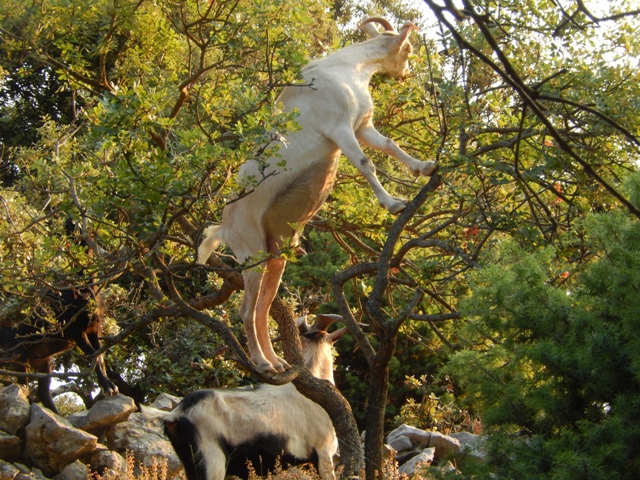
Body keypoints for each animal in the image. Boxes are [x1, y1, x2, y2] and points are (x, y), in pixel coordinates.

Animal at [198, 18, 437, 375]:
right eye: (407, 48)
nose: (405, 74)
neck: (347, 69)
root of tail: (224, 228)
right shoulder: (340, 128)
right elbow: (366, 164)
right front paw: (394, 204)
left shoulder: (363, 126)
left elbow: (390, 145)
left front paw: (427, 167)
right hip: (251, 253)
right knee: (246, 310)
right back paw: (263, 364)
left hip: (275, 256)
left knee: (262, 308)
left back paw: (278, 362)